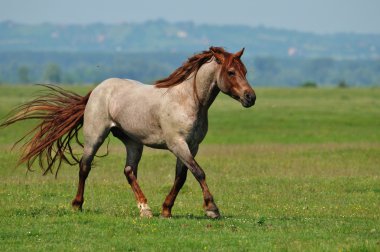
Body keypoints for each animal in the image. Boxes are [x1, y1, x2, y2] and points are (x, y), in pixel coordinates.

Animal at [0, 47, 255, 219]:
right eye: (231, 72)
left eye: (245, 70)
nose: (250, 97)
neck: (188, 100)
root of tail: (98, 89)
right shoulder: (177, 144)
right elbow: (199, 172)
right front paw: (212, 209)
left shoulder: (191, 146)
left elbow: (182, 177)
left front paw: (166, 210)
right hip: (95, 137)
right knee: (85, 166)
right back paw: (77, 204)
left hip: (133, 142)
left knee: (129, 171)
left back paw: (145, 209)